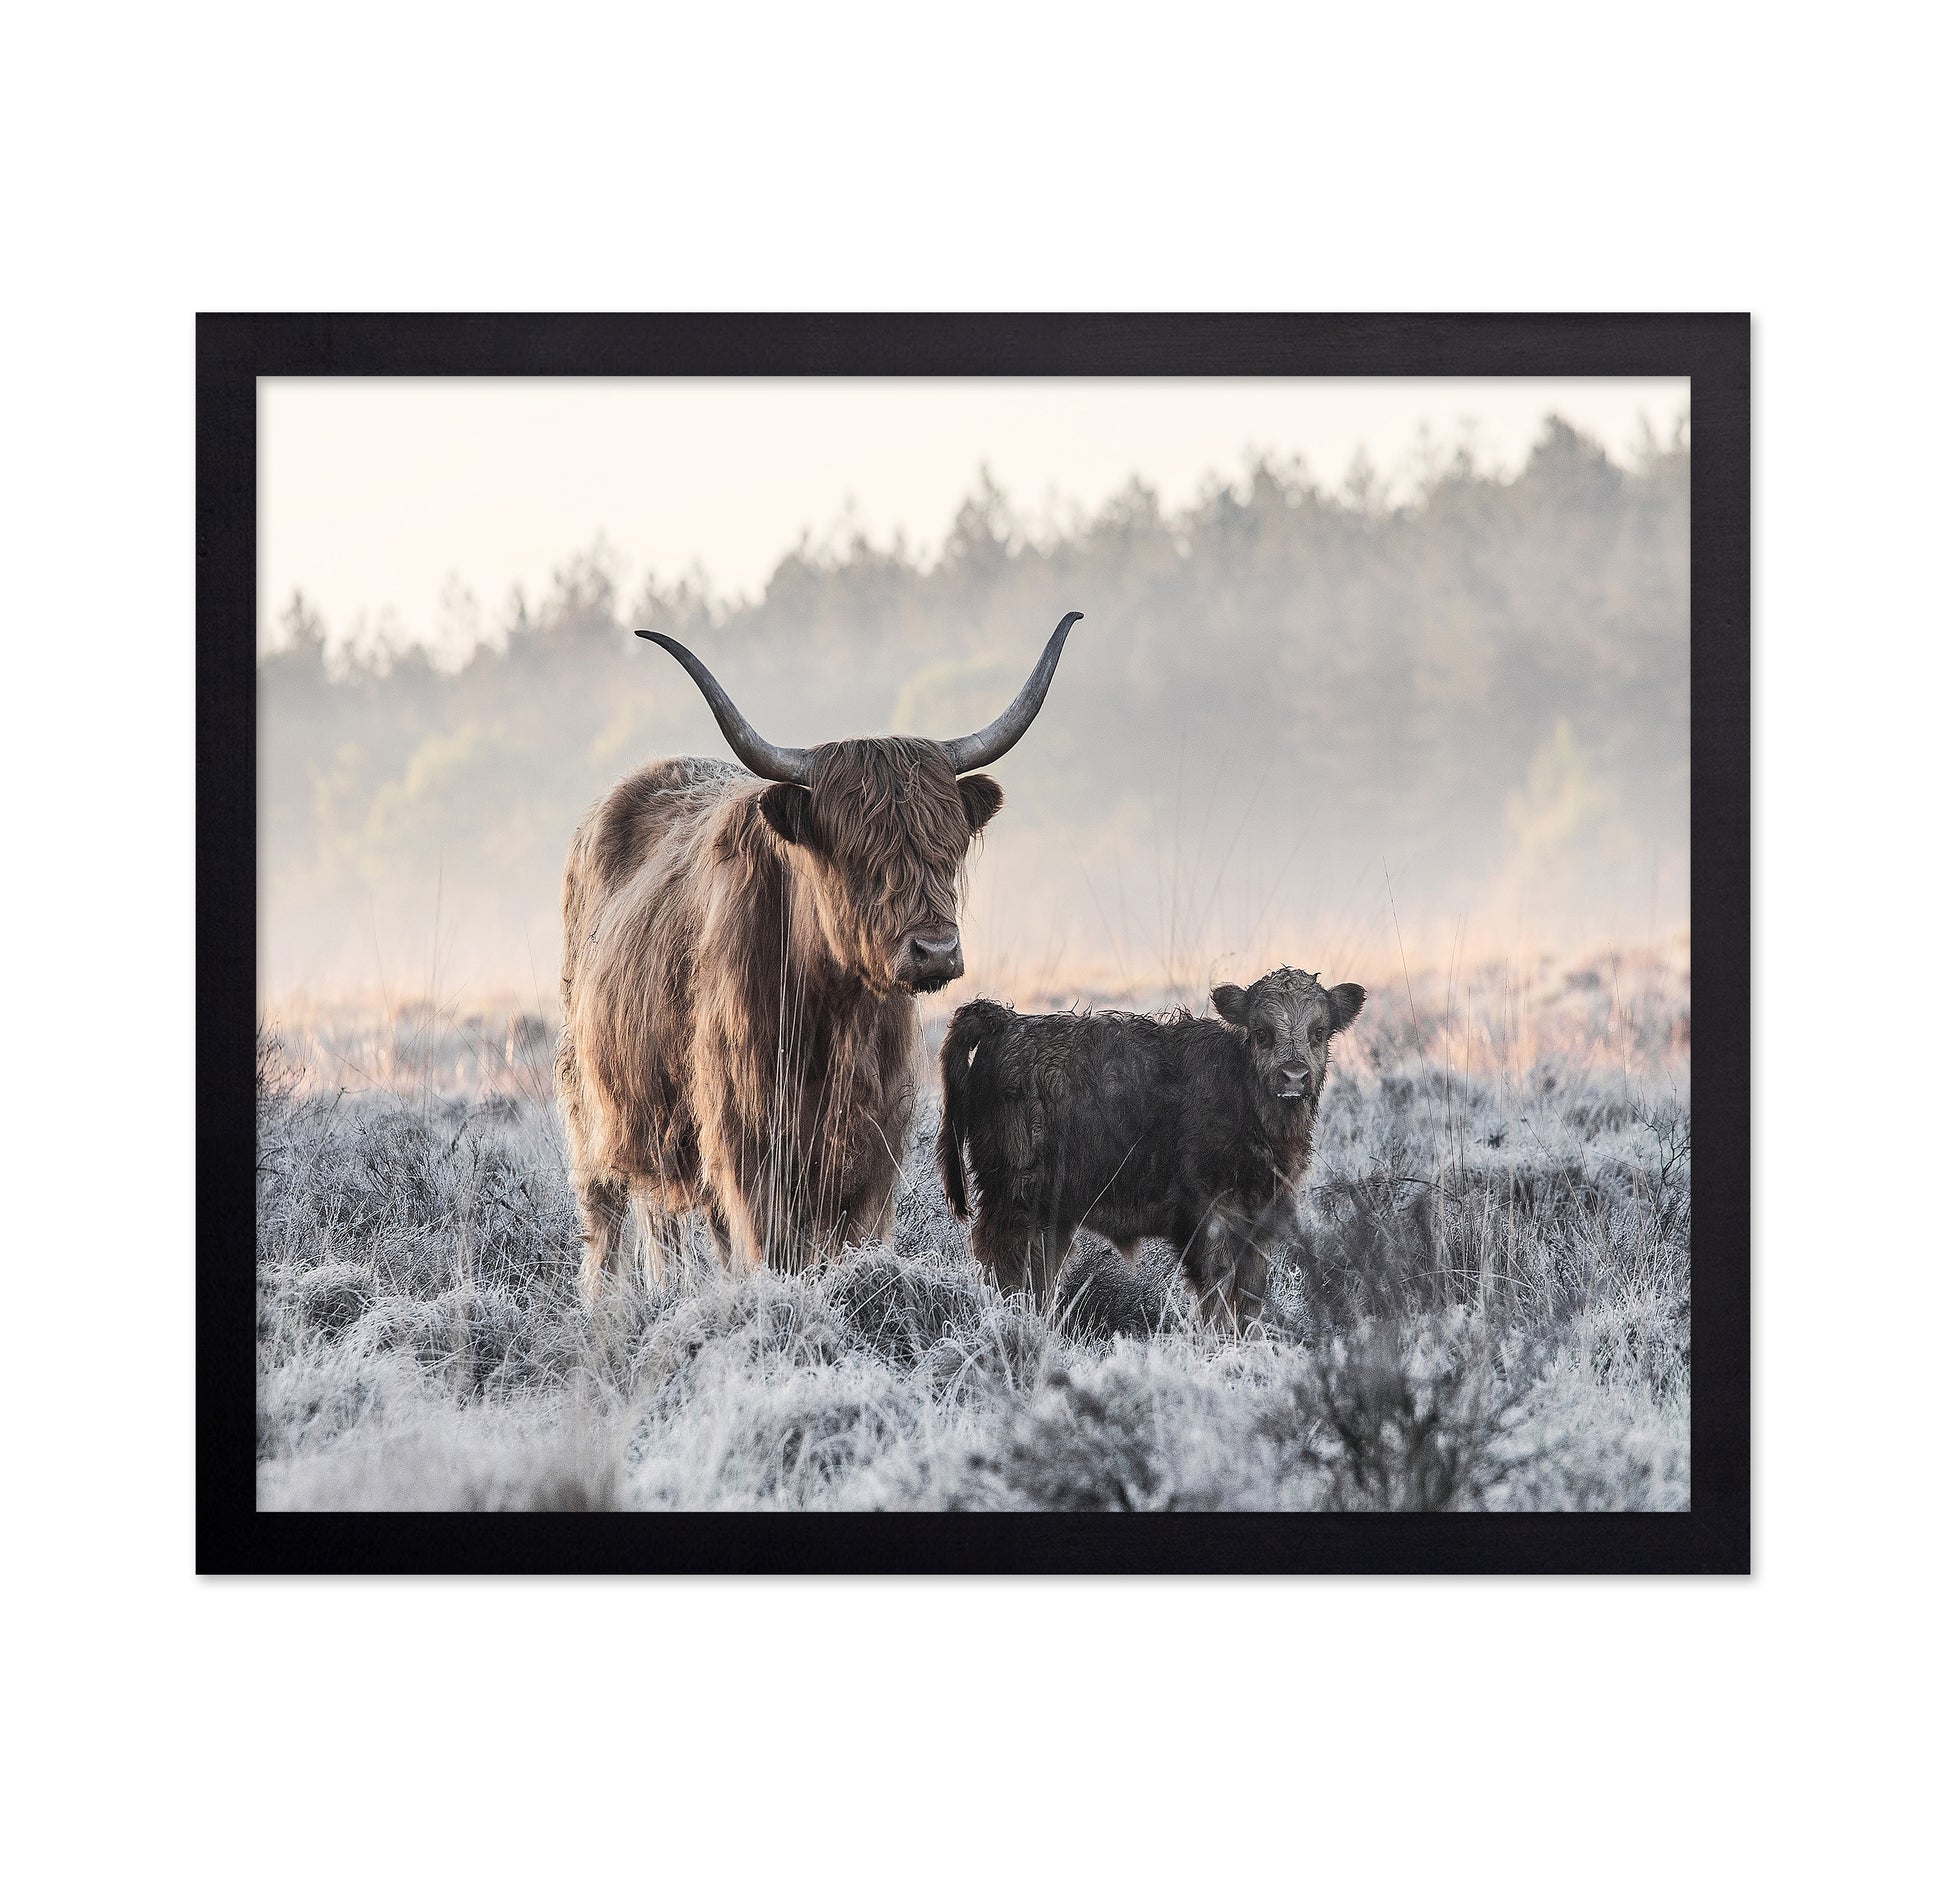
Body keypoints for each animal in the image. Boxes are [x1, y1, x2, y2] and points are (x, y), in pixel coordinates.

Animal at [556, 612, 1081, 1300]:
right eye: (856, 855)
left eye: (947, 848)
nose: (934, 950)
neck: (835, 1015)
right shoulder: (749, 1144)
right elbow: (771, 1249)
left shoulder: (876, 1150)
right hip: (593, 1110)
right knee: (607, 1223)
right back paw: (606, 1311)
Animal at [937, 967, 1365, 1331]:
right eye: (1261, 1032)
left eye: (1319, 1031)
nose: (1294, 1076)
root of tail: (1006, 1022)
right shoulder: (1209, 1217)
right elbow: (1217, 1293)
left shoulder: (1262, 1221)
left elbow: (1249, 1298)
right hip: (1014, 1196)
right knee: (1004, 1264)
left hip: (1051, 1214)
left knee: (1039, 1272)